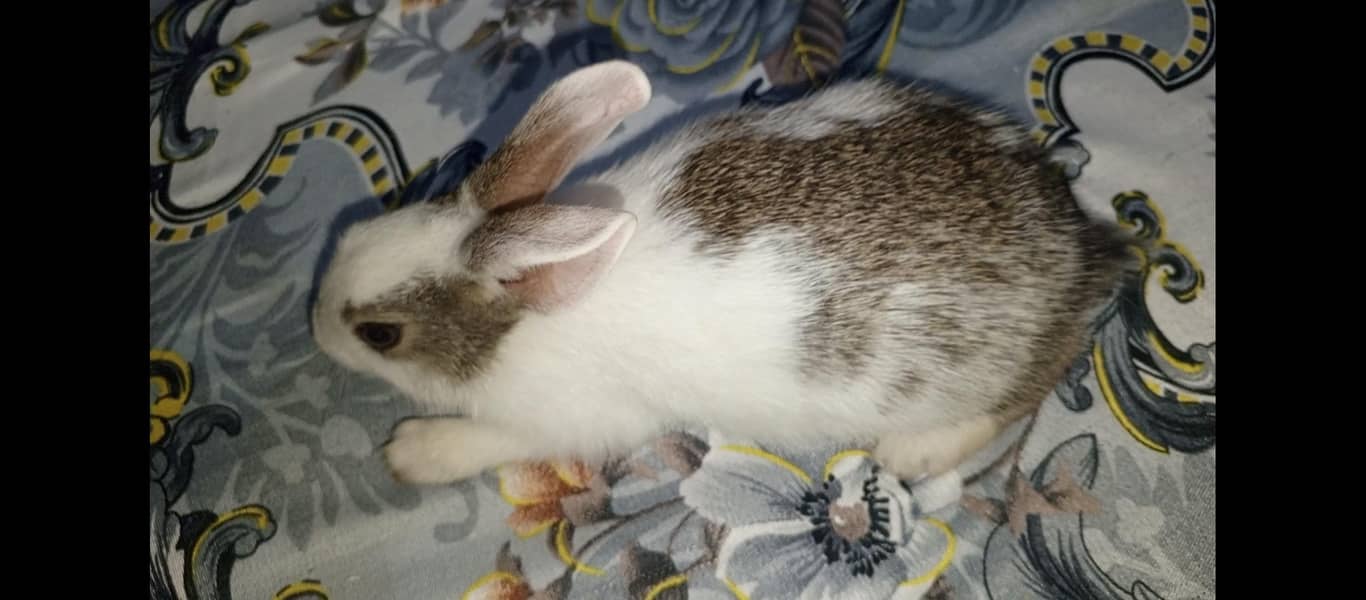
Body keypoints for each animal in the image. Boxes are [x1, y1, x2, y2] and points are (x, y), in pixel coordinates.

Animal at [311, 60, 1132, 486]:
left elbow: (492, 441)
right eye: (357, 229)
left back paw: (916, 451)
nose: (314, 328)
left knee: (1036, 379)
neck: (523, 319)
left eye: (380, 334)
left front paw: (412, 452)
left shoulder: (578, 418)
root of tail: (1077, 246)